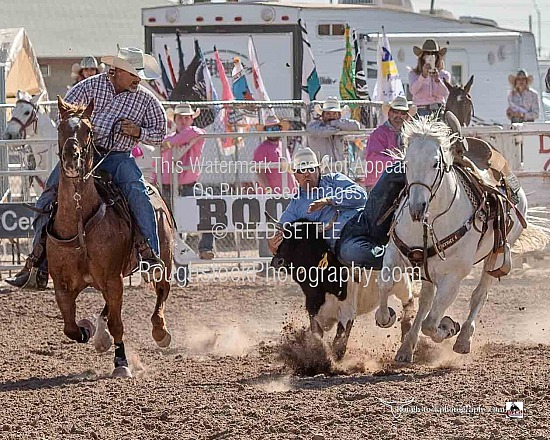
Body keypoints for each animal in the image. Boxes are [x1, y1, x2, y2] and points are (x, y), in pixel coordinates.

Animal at [51, 96, 175, 378]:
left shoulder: (113, 279)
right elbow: (70, 327)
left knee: (162, 289)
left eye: (88, 129)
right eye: (60, 128)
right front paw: (87, 330)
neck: (80, 223)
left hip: (164, 258)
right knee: (107, 309)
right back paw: (100, 336)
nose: (71, 157)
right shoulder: (62, 286)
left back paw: (160, 332)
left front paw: (121, 363)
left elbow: (119, 324)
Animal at [376, 116, 540, 360]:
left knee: (478, 295)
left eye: (436, 163)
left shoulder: (453, 277)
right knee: (426, 301)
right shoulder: (395, 254)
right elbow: (386, 286)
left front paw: (448, 327)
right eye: (406, 162)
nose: (417, 208)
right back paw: (406, 348)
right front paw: (387, 316)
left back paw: (463, 339)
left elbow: (431, 324)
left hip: (497, 253)